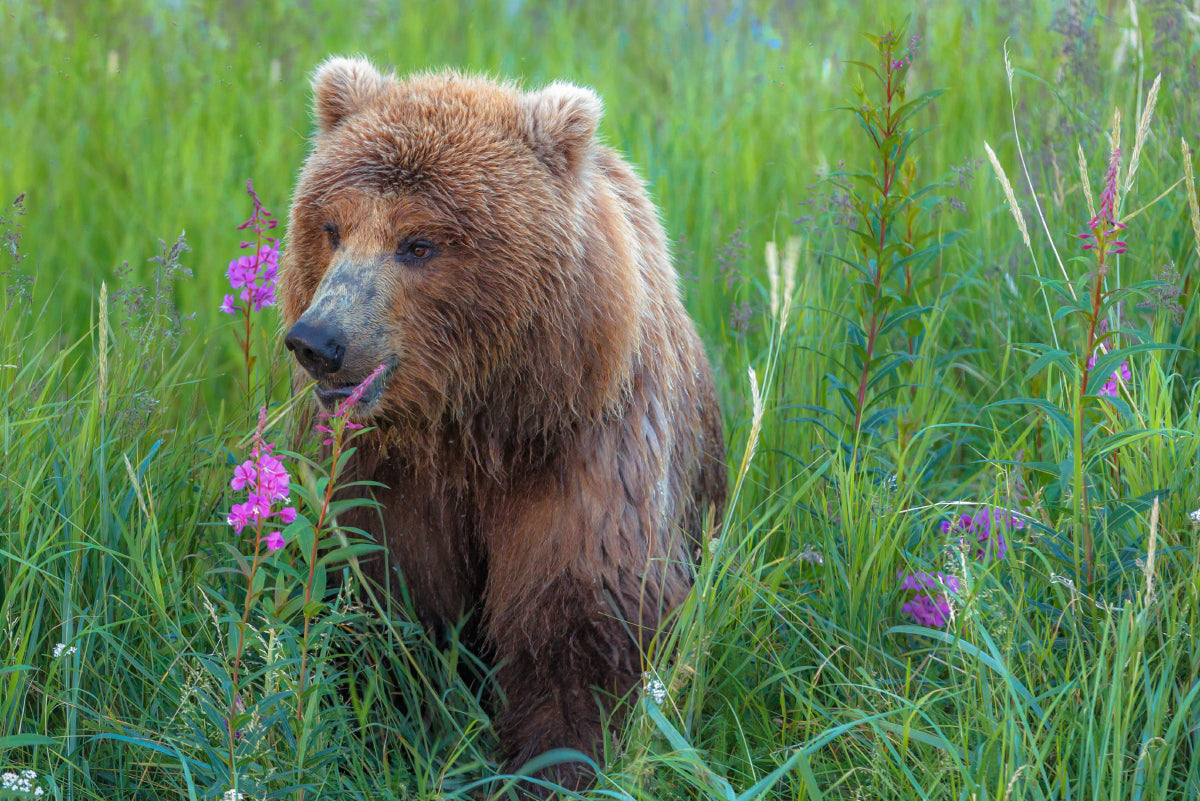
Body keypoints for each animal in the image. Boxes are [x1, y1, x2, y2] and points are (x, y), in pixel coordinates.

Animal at [278, 57, 727, 794]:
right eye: (331, 227)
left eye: (418, 243)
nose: (319, 339)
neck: (475, 421)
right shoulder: (389, 475)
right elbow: (384, 601)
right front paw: (387, 738)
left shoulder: (583, 453)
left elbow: (577, 624)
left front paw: (549, 768)